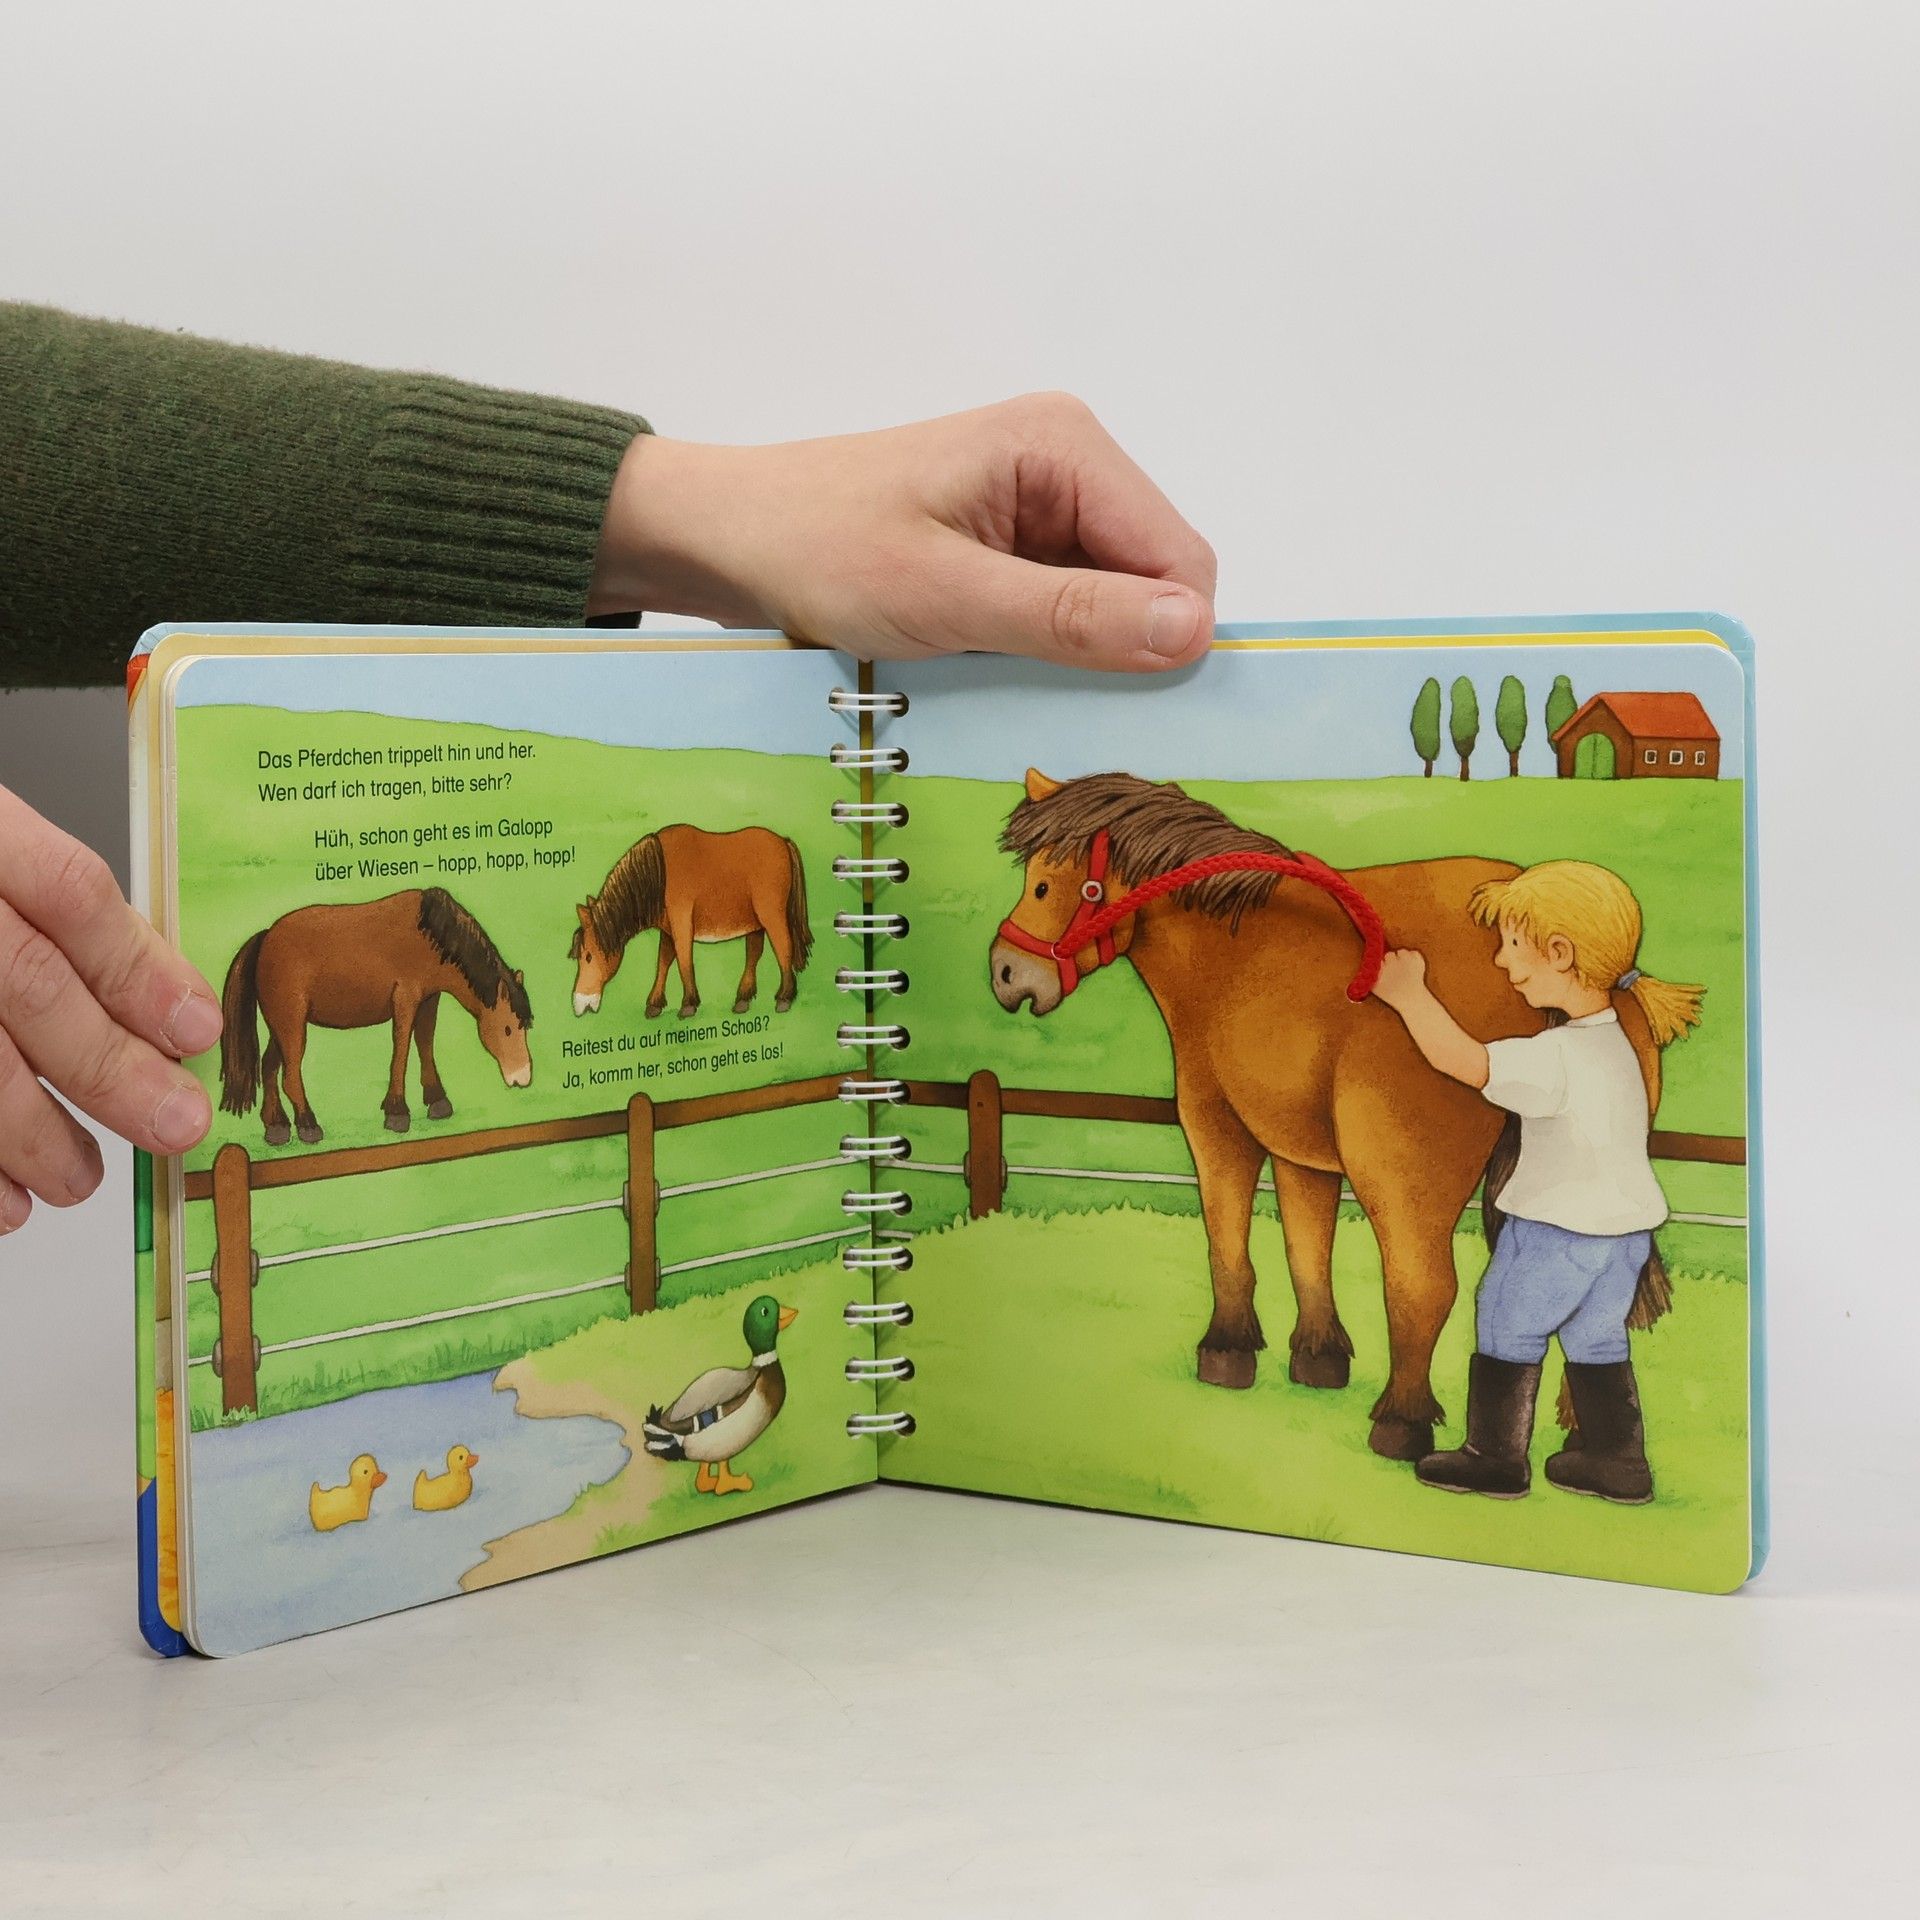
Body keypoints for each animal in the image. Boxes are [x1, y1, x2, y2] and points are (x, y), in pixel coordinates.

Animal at [219, 887, 534, 1147]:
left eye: (525, 1027)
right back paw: (308, 1126)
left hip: (279, 1027)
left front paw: (437, 1101)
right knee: (290, 1076)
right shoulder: (405, 1000)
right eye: (507, 1029)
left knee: (269, 1068)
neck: (428, 935)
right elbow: (402, 1051)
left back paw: (277, 1128)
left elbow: (425, 1044)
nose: (522, 1078)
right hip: (292, 1026)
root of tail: (265, 937)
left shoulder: (428, 1001)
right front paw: (397, 1112)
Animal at [569, 825, 813, 1021]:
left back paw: (784, 998)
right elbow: (663, 962)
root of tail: (783, 841)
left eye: (588, 956)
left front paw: (688, 1005)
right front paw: (654, 1005)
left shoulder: (681, 924)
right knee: (754, 953)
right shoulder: (668, 930)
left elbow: (684, 961)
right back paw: (743, 1000)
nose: (580, 1004)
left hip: (771, 915)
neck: (659, 873)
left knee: (783, 948)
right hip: (754, 922)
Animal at [989, 769, 1668, 1462]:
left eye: (1044, 883)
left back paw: (1402, 1421)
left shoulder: (1215, 1124)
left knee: (1423, 1285)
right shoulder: (1301, 1150)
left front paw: (1226, 1349)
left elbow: (1226, 1242)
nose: (1006, 973)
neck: (1235, 949)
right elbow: (1306, 1248)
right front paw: (1318, 1357)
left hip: (1404, 1177)